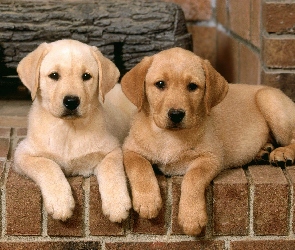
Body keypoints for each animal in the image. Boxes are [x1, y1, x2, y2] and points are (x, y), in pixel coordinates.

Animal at [13, 39, 134, 223]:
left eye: (86, 76)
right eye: (54, 75)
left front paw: (117, 204)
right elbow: (47, 166)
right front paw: (60, 202)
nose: (71, 101)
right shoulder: (23, 154)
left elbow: (112, 170)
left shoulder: (112, 150)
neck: (68, 130)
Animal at [121, 47, 295, 235]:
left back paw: (283, 153)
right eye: (160, 84)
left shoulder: (211, 157)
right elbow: (139, 166)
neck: (169, 136)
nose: (176, 114)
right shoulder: (129, 149)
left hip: (270, 101)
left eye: (192, 86)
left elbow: (193, 178)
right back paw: (263, 151)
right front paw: (148, 201)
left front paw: (191, 217)